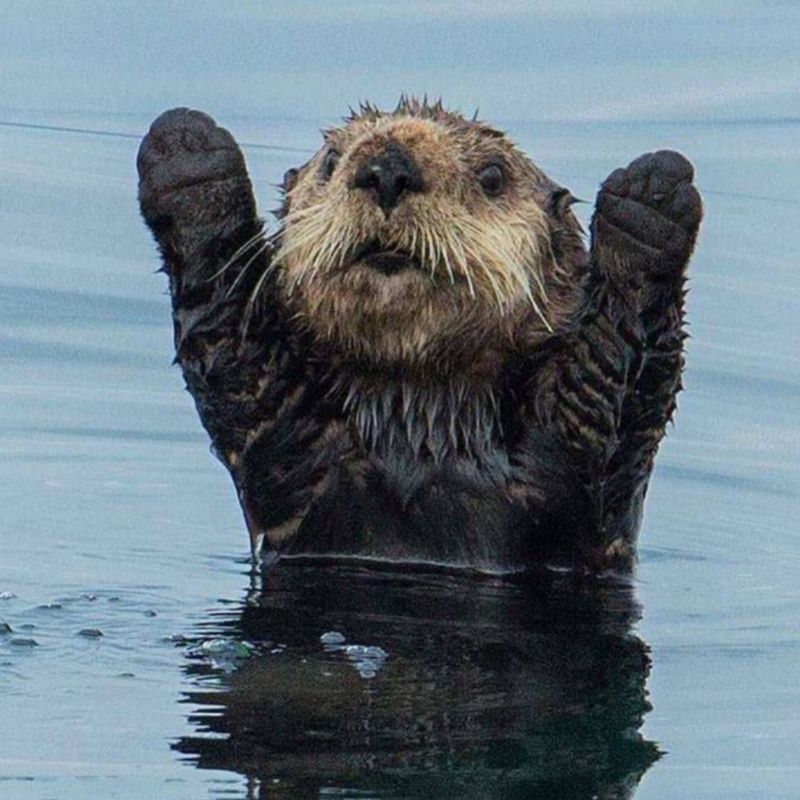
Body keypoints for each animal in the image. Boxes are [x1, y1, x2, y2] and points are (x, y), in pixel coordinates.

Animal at [138, 98, 700, 576]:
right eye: (331, 161)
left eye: (493, 176)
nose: (388, 169)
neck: (421, 426)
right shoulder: (285, 446)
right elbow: (232, 345)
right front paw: (187, 150)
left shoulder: (585, 465)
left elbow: (615, 380)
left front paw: (651, 195)